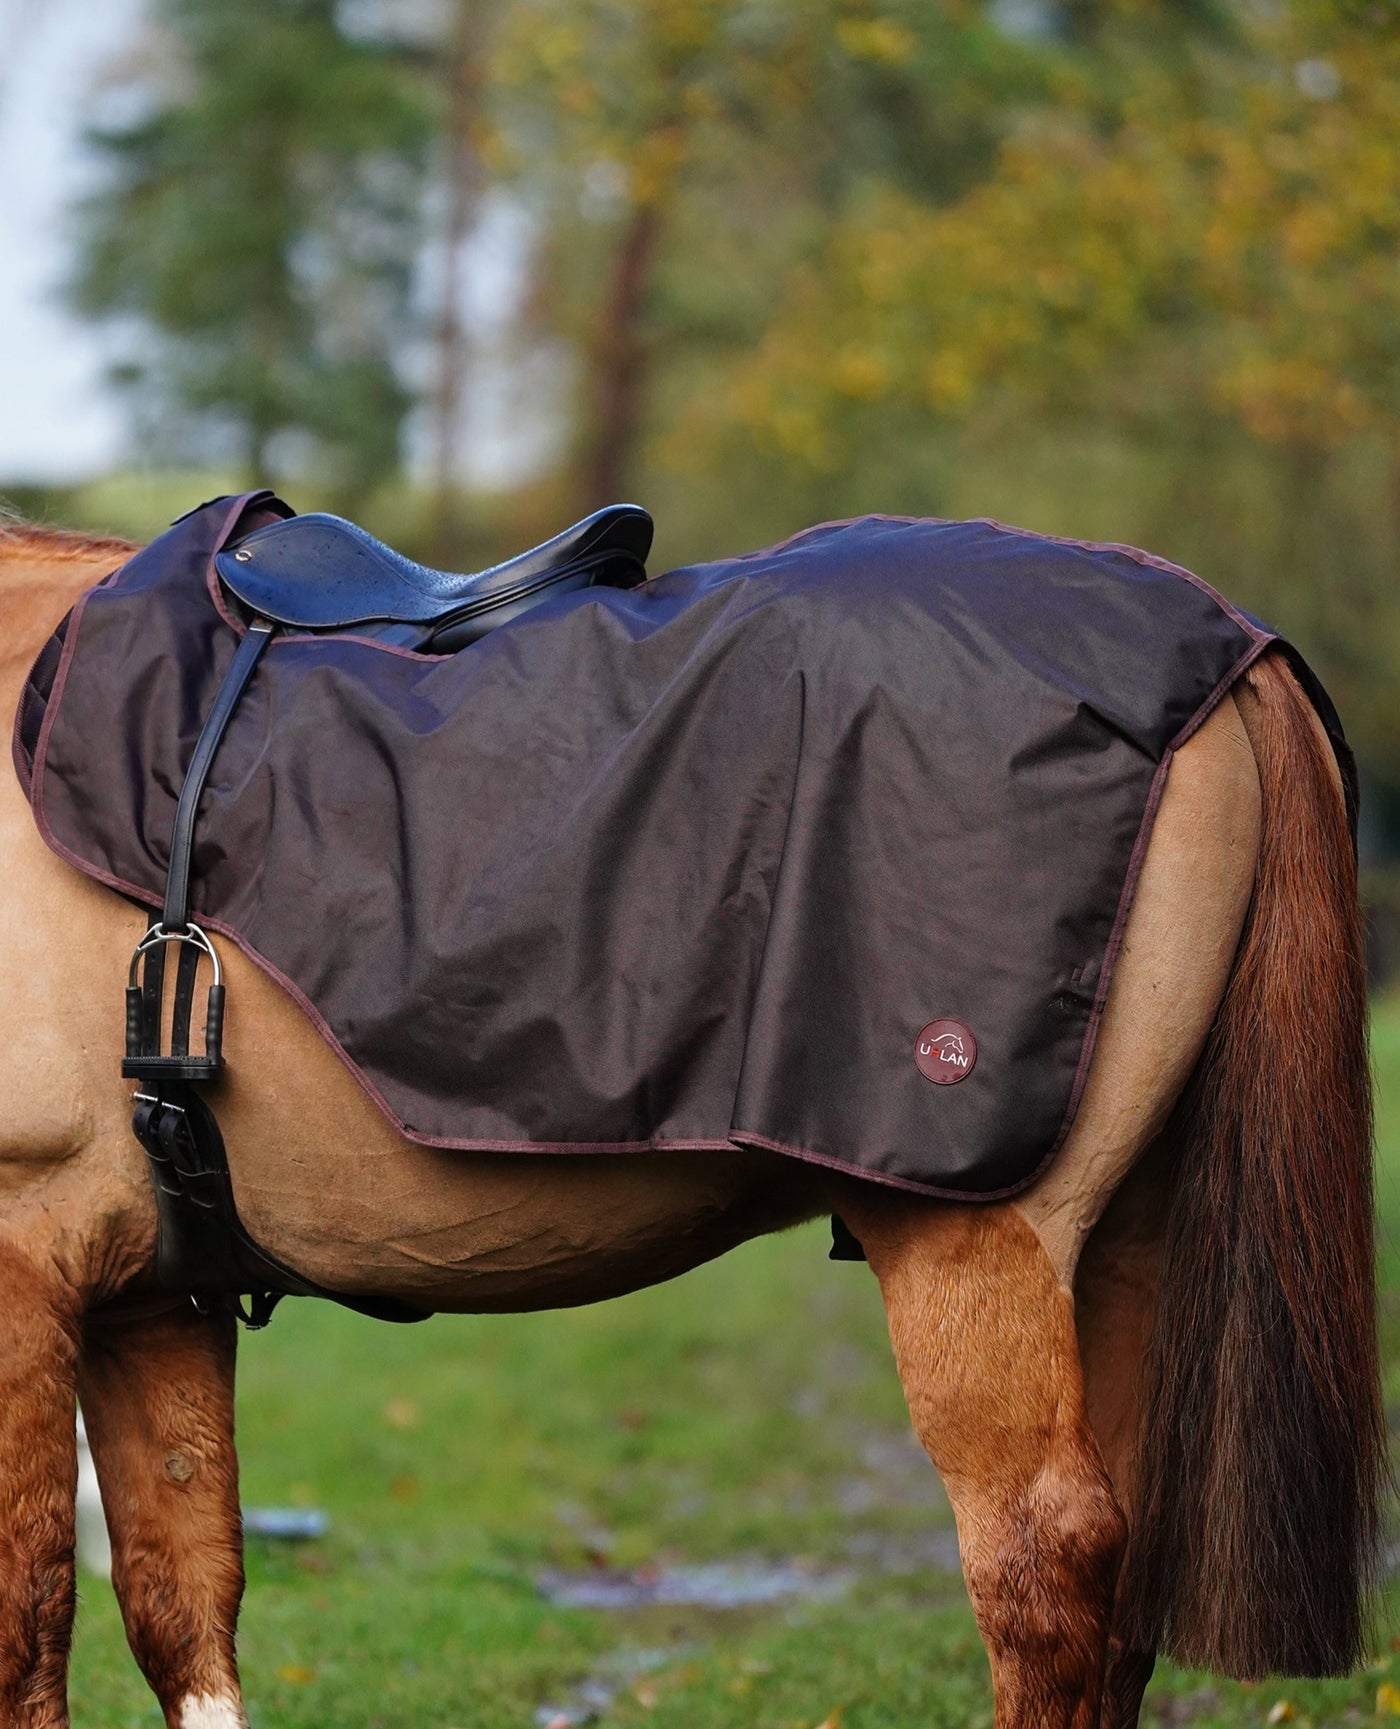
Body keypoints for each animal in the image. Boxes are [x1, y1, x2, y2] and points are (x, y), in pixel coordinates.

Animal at [0, 518, 1381, 1729]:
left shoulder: (25, 1275)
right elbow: (182, 1608)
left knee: (1042, 1563)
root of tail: (1221, 644)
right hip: (1129, 1238)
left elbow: (31, 1630)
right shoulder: (152, 1299)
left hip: (981, 1242)